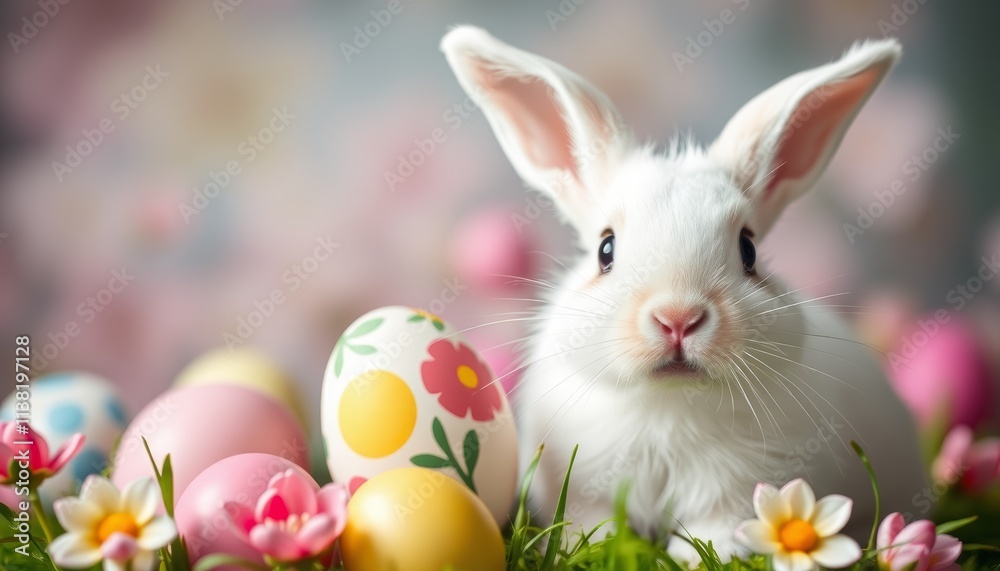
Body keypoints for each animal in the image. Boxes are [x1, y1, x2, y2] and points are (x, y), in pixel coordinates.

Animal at [441, 26, 926, 563]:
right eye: (606, 249)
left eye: (748, 249)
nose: (677, 318)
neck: (666, 406)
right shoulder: (586, 487)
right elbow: (590, 527)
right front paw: (593, 549)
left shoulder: (735, 495)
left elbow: (712, 536)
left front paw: (689, 559)